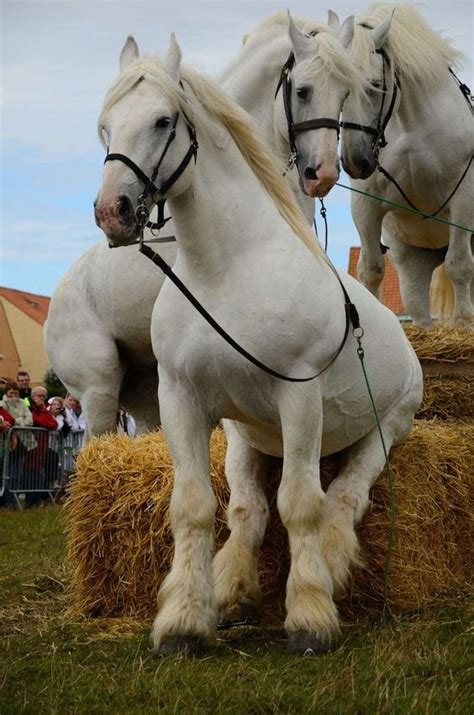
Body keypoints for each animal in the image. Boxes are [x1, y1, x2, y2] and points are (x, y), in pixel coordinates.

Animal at [46, 9, 362, 436]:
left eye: (345, 94)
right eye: (302, 91)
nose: (322, 173)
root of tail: (56, 300)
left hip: (146, 392)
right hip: (99, 389)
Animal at [96, 37, 422, 656]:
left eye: (163, 120)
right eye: (105, 126)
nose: (112, 212)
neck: (225, 271)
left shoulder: (299, 398)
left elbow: (302, 504)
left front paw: (310, 617)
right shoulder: (181, 400)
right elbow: (196, 507)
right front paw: (183, 621)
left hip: (388, 427)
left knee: (345, 497)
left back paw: (329, 569)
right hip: (245, 439)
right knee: (249, 508)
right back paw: (233, 593)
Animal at [338, 2, 472, 326]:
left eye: (375, 86)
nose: (356, 162)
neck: (412, 129)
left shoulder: (462, 201)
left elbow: (460, 266)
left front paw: (462, 325)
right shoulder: (366, 205)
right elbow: (371, 269)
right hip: (415, 258)